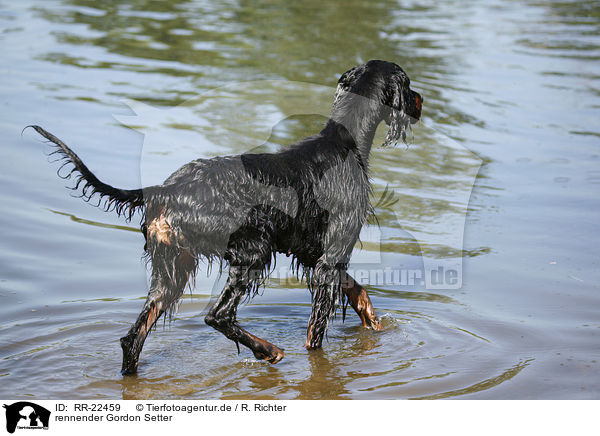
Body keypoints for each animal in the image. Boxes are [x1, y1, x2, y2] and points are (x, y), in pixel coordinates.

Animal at [28, 60, 422, 374]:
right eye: (408, 84)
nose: (420, 101)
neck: (344, 142)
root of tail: (165, 189)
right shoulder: (330, 256)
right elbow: (317, 332)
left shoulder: (315, 253)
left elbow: (358, 290)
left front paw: (374, 323)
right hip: (253, 251)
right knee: (217, 315)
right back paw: (268, 351)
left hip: (171, 269)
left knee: (133, 338)